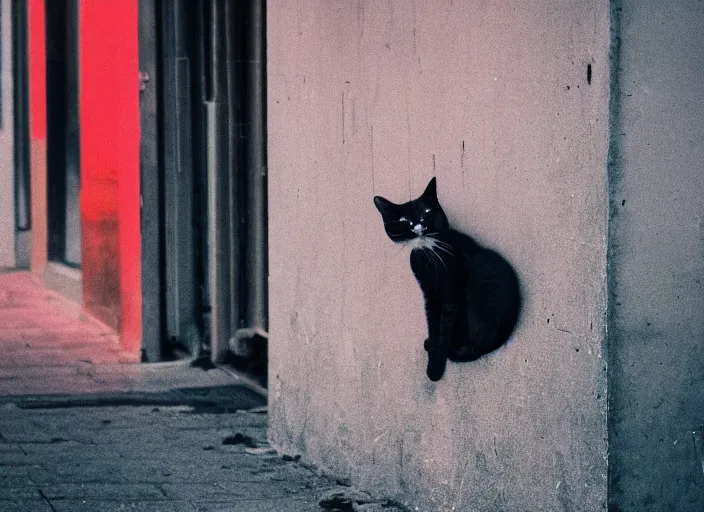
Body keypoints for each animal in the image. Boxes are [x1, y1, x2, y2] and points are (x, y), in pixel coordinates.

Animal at [374, 176, 524, 380]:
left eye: (426, 211)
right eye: (403, 220)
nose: (419, 226)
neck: (427, 257)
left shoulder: (450, 289)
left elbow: (445, 325)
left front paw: (435, 368)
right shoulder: (428, 291)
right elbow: (433, 321)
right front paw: (433, 348)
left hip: (481, 287)